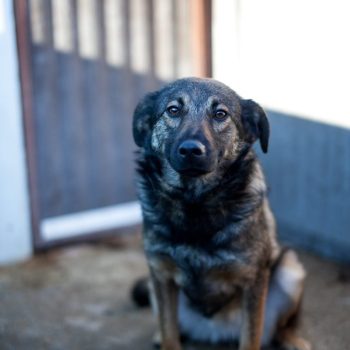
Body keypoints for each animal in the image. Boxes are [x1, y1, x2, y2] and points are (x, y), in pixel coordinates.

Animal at [133, 77, 310, 350]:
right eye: (173, 110)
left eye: (220, 114)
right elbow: (169, 333)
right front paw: (165, 338)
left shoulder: (253, 280)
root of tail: (215, 332)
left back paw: (291, 339)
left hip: (291, 269)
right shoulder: (160, 274)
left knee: (280, 326)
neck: (195, 202)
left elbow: (250, 339)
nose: (190, 150)